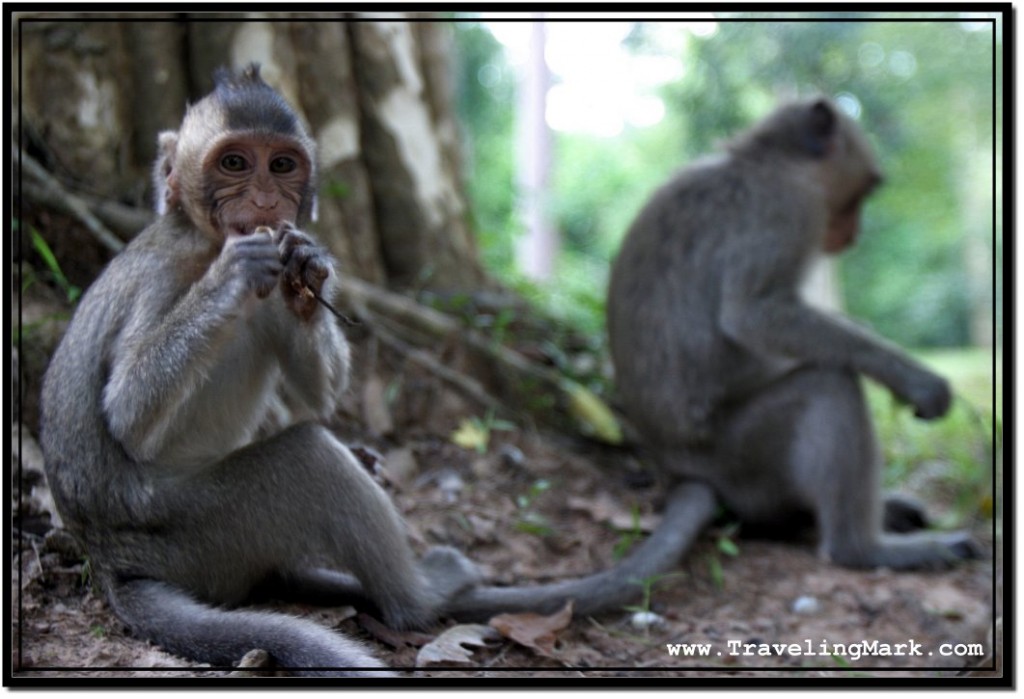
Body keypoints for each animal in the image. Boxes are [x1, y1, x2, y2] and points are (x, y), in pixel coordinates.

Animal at [39, 65, 479, 679]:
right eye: (234, 163)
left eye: (282, 165)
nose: (267, 199)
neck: (204, 239)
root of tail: (109, 561)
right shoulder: (164, 277)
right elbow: (127, 416)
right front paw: (233, 275)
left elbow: (319, 391)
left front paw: (311, 267)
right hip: (205, 534)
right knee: (309, 458)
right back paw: (422, 596)